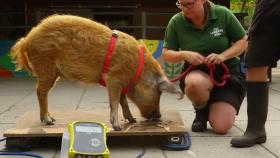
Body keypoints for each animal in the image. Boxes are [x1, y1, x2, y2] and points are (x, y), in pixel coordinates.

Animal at [10, 14, 184, 131]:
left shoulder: (120, 82)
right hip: (46, 67)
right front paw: (117, 127)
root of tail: (27, 39)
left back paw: (51, 119)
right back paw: (49, 121)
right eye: (158, 93)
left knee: (42, 92)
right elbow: (114, 101)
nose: (159, 116)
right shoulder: (114, 79)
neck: (137, 71)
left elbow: (123, 101)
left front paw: (132, 120)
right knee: (40, 91)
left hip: (53, 73)